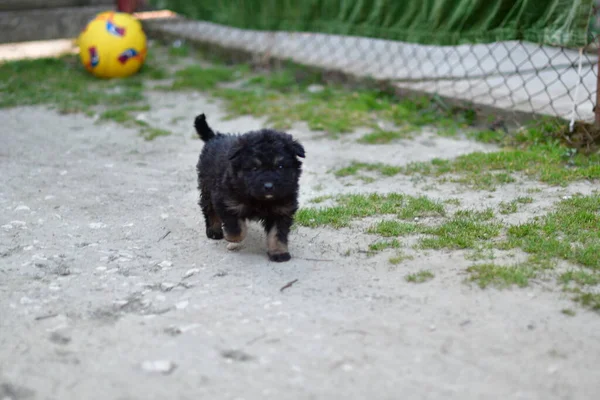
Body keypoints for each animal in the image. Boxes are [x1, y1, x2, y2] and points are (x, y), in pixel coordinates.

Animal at [195, 113, 304, 262]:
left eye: (280, 166)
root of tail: (215, 137)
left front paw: (279, 252)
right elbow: (236, 227)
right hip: (206, 186)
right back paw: (214, 231)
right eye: (254, 168)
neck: (260, 199)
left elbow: (277, 234)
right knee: (209, 209)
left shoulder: (282, 210)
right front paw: (232, 238)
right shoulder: (226, 202)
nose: (269, 186)